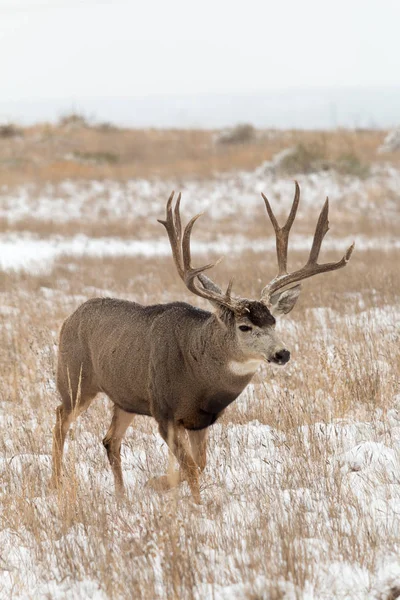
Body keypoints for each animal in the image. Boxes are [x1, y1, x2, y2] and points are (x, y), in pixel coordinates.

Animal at [50, 183, 354, 502]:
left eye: (274, 321)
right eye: (244, 327)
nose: (282, 353)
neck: (198, 374)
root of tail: (70, 317)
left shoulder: (201, 420)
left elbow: (200, 464)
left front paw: (158, 483)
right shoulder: (165, 412)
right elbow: (192, 468)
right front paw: (192, 503)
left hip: (126, 397)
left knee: (110, 440)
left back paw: (121, 495)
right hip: (75, 378)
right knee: (60, 420)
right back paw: (56, 484)